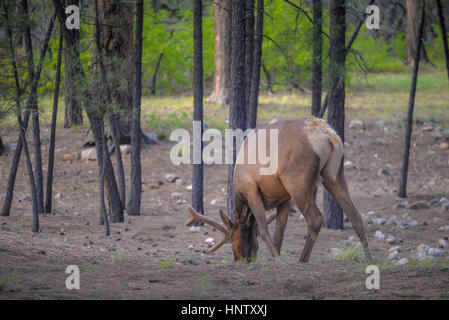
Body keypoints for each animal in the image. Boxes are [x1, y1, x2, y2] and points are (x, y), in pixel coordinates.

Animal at [185, 117, 368, 262]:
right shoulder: (284, 199)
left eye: (232, 238)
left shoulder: (251, 189)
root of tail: (329, 136)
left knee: (315, 219)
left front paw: (277, 258)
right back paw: (369, 257)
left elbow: (264, 230)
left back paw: (302, 260)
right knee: (355, 215)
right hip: (334, 175)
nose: (240, 259)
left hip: (297, 182)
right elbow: (279, 233)